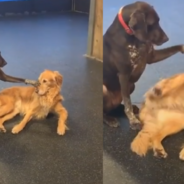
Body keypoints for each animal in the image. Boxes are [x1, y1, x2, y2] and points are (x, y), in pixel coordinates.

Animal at [103, 0, 184, 129]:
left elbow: (174, 48)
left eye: (159, 21)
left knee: (116, 106)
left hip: (131, 85)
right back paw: (109, 119)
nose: (166, 38)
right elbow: (127, 103)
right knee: (106, 110)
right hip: (108, 88)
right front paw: (133, 121)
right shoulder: (124, 75)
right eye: (152, 23)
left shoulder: (152, 57)